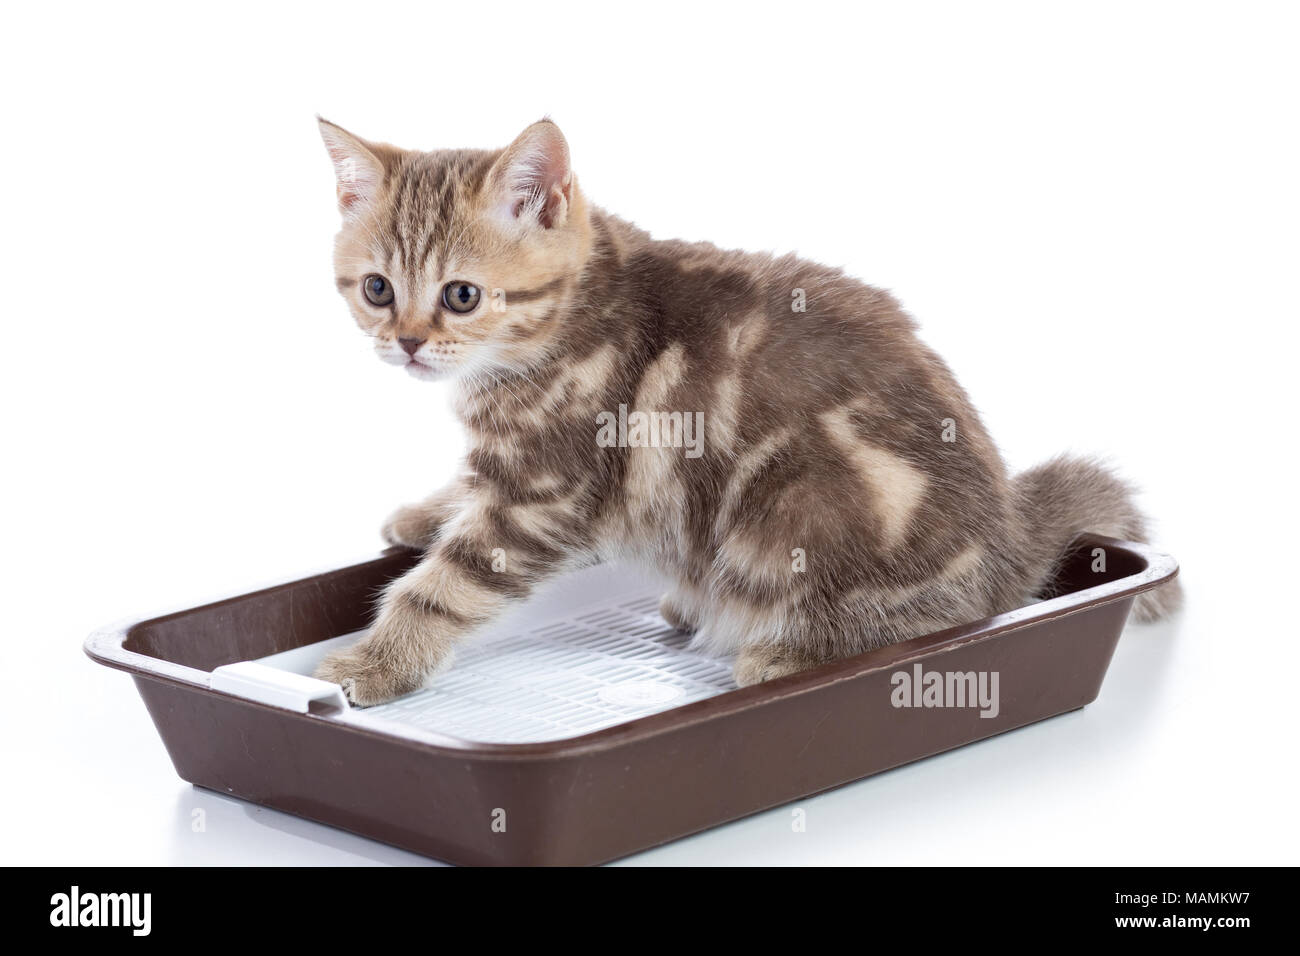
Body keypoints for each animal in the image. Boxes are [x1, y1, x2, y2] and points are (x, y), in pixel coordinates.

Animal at [312, 117, 1180, 702]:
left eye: (462, 295)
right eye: (377, 288)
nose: (409, 342)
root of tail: (1006, 540)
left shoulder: (545, 494)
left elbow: (445, 583)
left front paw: (375, 662)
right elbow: (467, 483)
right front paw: (424, 512)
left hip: (800, 507)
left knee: (934, 622)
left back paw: (786, 653)